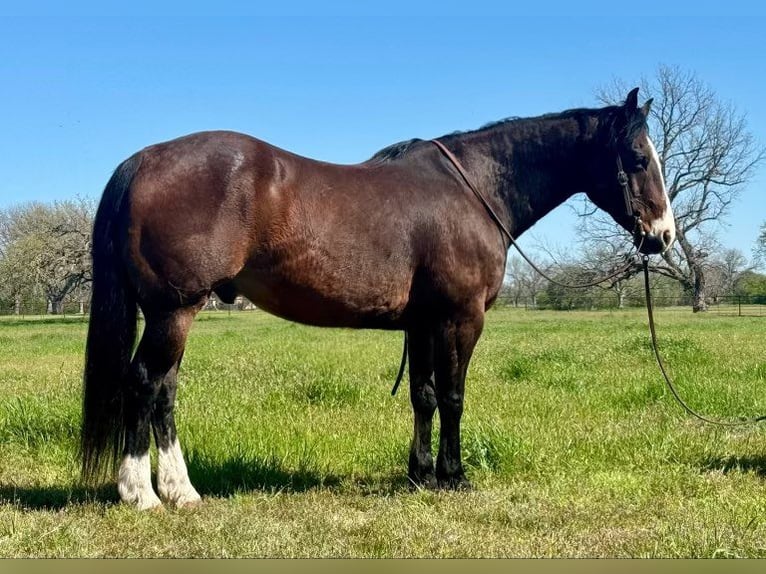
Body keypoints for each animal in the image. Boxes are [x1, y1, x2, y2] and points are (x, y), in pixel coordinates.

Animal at [81, 88, 676, 510]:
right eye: (637, 157)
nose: (663, 236)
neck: (472, 191)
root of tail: (143, 161)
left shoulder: (423, 323)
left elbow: (424, 396)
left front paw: (419, 475)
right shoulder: (460, 319)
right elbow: (453, 397)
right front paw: (454, 477)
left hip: (174, 314)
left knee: (164, 392)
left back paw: (181, 491)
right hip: (173, 310)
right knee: (145, 384)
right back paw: (142, 494)